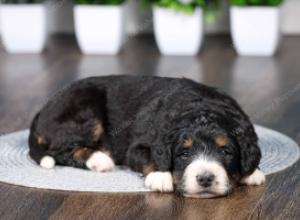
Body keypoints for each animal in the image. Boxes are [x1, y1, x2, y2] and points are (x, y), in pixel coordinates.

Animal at [29, 75, 266, 198]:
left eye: (226, 151)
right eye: (184, 153)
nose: (205, 178)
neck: (201, 104)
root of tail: (43, 110)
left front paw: (253, 172)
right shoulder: (137, 146)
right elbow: (151, 157)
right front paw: (160, 176)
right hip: (85, 110)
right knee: (60, 150)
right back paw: (100, 159)